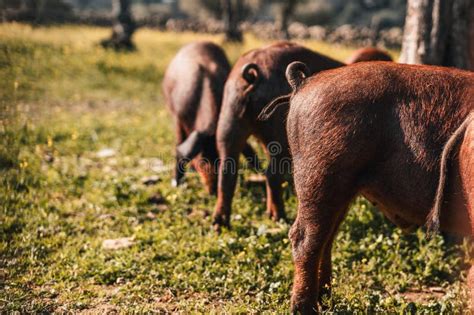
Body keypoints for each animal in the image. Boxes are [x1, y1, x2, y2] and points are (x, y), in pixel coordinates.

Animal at [163, 42, 260, 195]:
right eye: (203, 160)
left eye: (222, 159)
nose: (213, 191)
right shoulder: (178, 118)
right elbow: (179, 145)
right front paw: (177, 185)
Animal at [280, 61, 472, 314]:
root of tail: (304, 82)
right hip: (319, 175)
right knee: (304, 238)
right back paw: (304, 308)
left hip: (341, 188)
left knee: (326, 239)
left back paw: (326, 299)